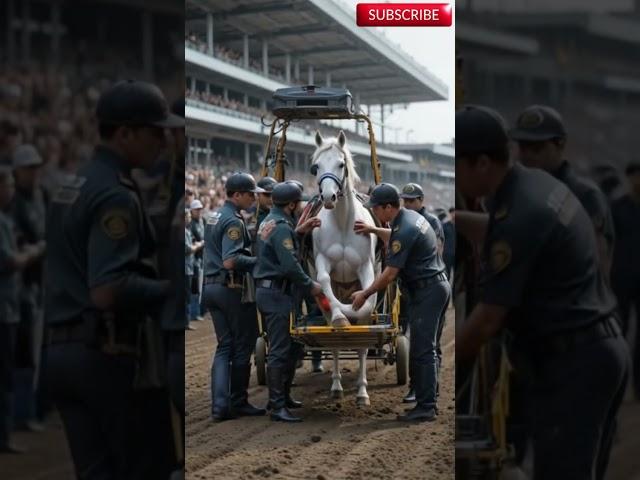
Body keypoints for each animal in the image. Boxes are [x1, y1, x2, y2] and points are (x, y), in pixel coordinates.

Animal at [308, 130, 378, 404]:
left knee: (361, 346)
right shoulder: (323, 261)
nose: (328, 197)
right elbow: (324, 281)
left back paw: (361, 391)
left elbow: (368, 300)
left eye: (341, 164)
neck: (342, 223)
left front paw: (362, 391)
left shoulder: (365, 266)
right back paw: (337, 386)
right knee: (335, 344)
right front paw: (341, 316)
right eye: (316, 166)